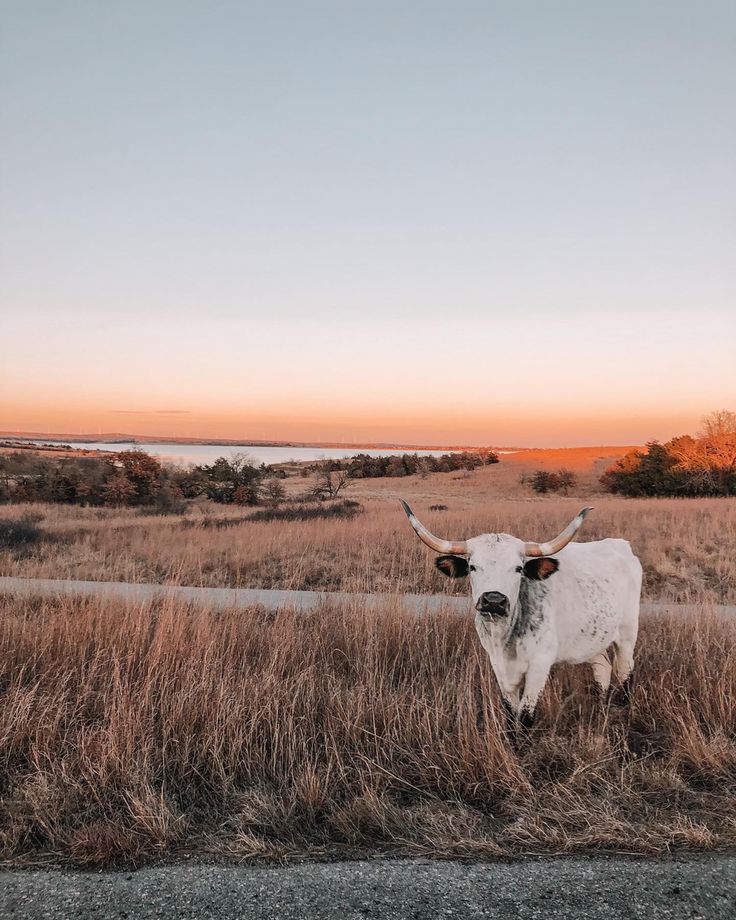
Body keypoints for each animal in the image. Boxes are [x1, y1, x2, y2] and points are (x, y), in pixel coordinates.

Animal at [400, 500, 640, 728]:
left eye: (518, 568)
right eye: (473, 566)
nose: (494, 600)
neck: (505, 637)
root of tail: (622, 545)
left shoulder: (539, 666)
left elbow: (525, 717)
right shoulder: (499, 667)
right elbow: (509, 714)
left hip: (627, 634)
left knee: (625, 670)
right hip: (591, 639)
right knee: (603, 668)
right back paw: (600, 710)